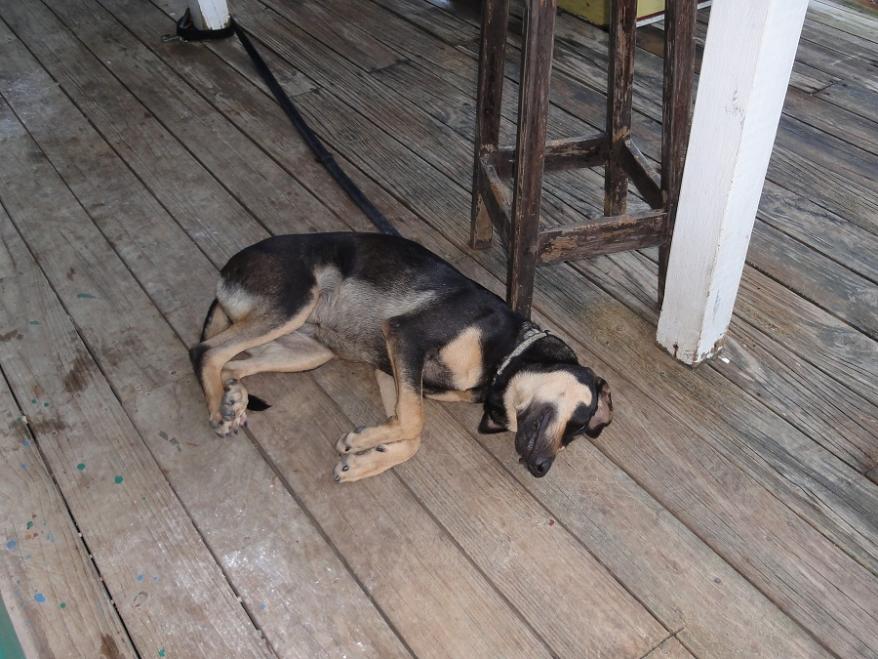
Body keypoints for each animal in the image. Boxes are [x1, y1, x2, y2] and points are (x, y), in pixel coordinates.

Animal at [190, 233, 613, 482]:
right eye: (579, 422)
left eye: (575, 436)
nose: (541, 469)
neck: (503, 358)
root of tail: (225, 274)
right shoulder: (406, 337)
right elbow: (415, 421)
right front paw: (361, 442)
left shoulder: (391, 368)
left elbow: (410, 429)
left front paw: (366, 457)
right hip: (295, 300)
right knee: (206, 350)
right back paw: (220, 412)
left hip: (309, 351)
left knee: (233, 363)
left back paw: (234, 399)